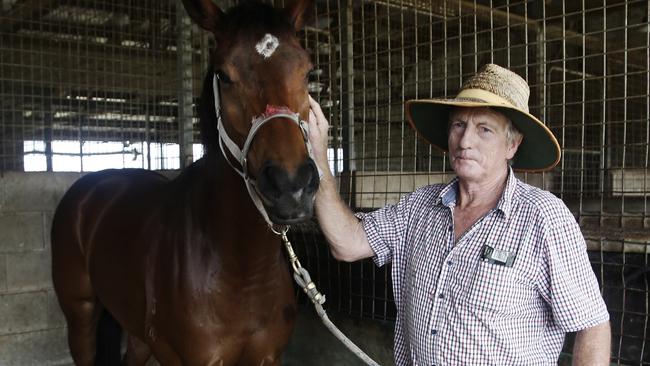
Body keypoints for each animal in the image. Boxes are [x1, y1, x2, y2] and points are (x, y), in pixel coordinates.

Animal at [49, 1, 318, 364]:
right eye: (223, 75)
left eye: (308, 72)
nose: (291, 185)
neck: (240, 270)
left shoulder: (268, 357)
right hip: (80, 317)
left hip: (138, 332)